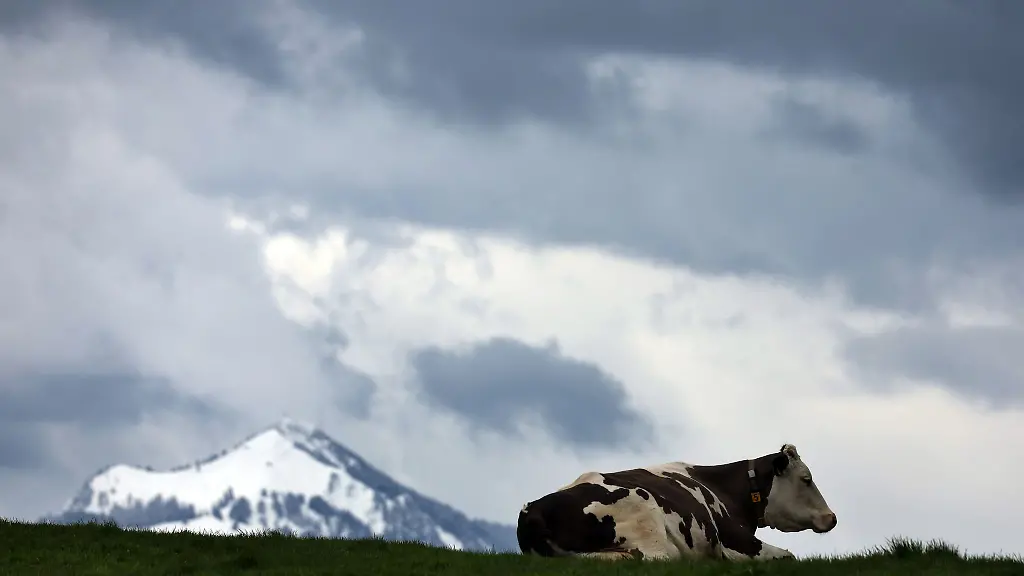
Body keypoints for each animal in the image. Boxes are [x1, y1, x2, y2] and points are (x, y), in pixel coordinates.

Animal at [516, 443, 836, 562]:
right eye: (806, 479)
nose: (832, 517)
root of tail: (534, 509)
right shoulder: (733, 538)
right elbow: (788, 556)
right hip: (645, 516)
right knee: (652, 557)